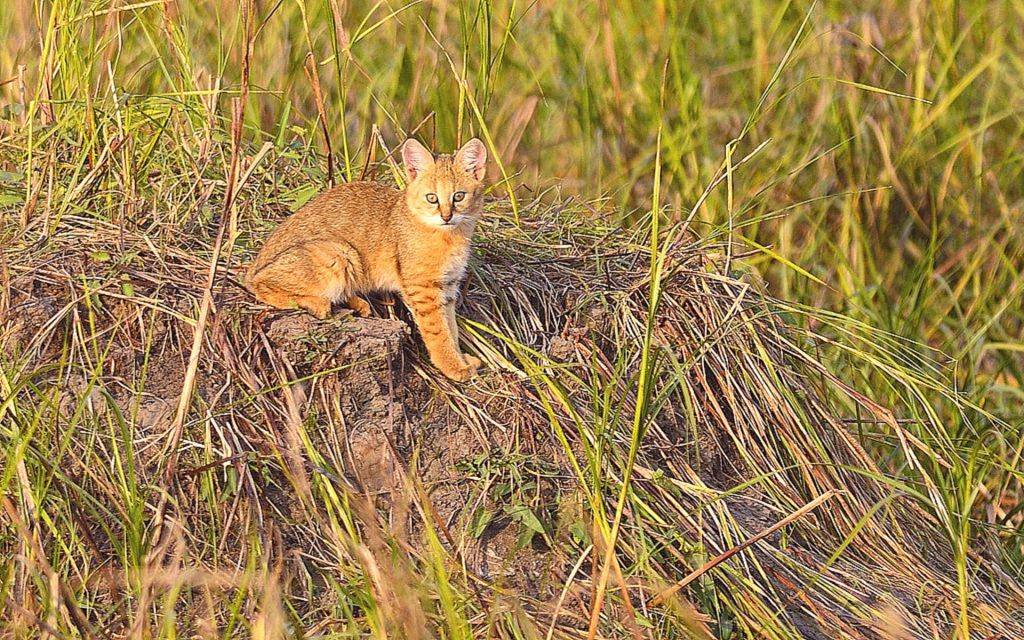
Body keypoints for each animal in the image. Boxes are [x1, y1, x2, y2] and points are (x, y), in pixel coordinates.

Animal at [247, 137, 487, 378]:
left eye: (459, 196)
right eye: (432, 198)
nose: (447, 216)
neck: (451, 236)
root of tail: (255, 263)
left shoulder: (448, 285)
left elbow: (451, 327)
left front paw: (461, 359)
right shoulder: (423, 288)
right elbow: (438, 331)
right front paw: (453, 367)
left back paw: (355, 303)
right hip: (340, 252)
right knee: (260, 284)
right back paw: (317, 303)